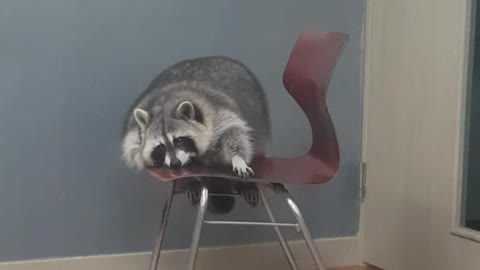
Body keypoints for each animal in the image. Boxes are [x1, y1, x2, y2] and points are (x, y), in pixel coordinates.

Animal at [121, 56, 270, 214]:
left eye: (179, 140)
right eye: (160, 146)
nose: (175, 164)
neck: (164, 104)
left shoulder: (217, 114)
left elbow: (233, 131)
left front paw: (238, 158)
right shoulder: (133, 136)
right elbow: (134, 151)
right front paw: (189, 179)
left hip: (259, 118)